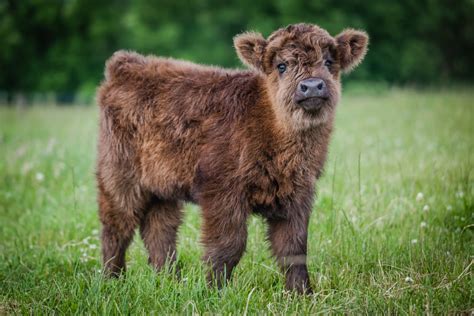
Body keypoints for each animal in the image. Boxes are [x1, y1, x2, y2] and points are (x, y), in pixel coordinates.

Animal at [96, 22, 368, 294]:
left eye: (329, 61)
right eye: (282, 66)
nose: (311, 86)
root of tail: (125, 66)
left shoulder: (299, 194)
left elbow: (294, 248)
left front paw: (302, 294)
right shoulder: (222, 193)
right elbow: (227, 246)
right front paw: (215, 292)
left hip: (162, 188)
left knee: (160, 231)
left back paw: (169, 281)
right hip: (119, 179)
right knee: (116, 228)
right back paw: (112, 281)